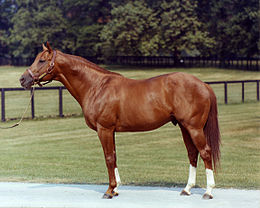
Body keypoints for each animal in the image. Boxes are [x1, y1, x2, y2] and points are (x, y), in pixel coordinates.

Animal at [19, 42, 220, 200]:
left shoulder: (104, 129)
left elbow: (108, 157)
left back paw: (208, 192)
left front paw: (109, 191)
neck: (96, 86)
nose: (23, 79)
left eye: (42, 60)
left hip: (194, 128)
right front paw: (115, 189)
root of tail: (203, 84)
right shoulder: (111, 131)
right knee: (192, 154)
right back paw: (187, 189)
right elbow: (114, 156)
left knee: (205, 152)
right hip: (185, 128)